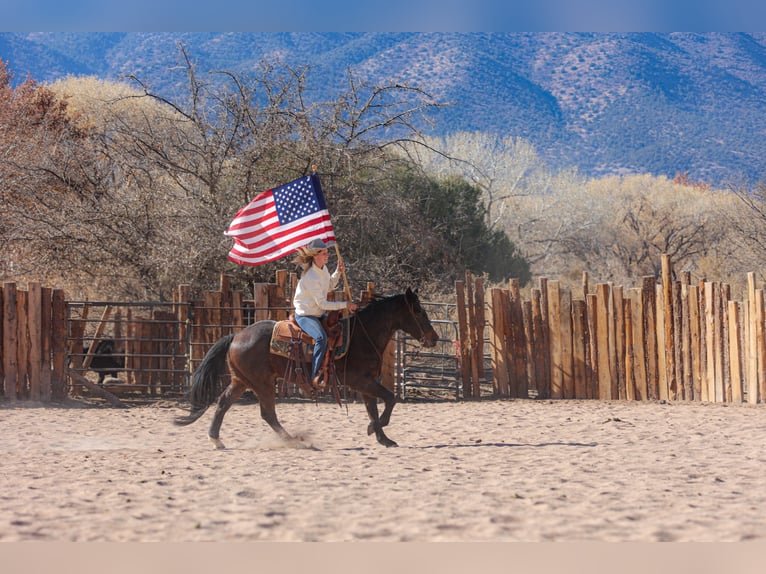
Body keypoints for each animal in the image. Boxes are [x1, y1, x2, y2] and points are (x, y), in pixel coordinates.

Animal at [175, 288, 438, 450]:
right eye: (419, 311)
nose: (434, 338)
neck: (362, 335)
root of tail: (236, 336)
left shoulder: (366, 384)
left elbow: (374, 409)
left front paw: (383, 438)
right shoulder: (359, 381)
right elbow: (390, 399)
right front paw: (373, 429)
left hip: (241, 381)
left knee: (223, 403)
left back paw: (216, 440)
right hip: (262, 383)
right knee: (267, 413)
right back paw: (295, 441)